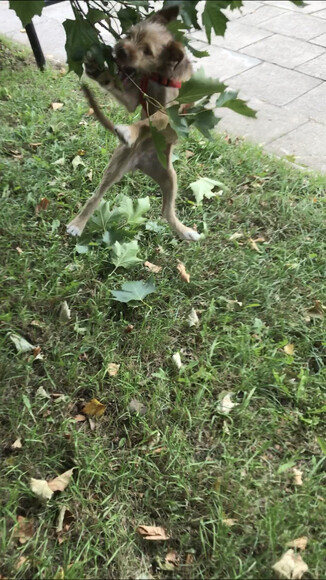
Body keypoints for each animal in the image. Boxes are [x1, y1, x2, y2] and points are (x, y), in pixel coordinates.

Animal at [65, 4, 199, 241]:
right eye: (128, 35)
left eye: (147, 51)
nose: (119, 50)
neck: (159, 74)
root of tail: (141, 163)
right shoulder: (133, 99)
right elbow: (116, 88)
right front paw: (97, 70)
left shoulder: (171, 111)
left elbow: (151, 120)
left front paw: (129, 131)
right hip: (116, 167)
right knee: (96, 197)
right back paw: (78, 224)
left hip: (170, 178)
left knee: (167, 211)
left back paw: (184, 231)